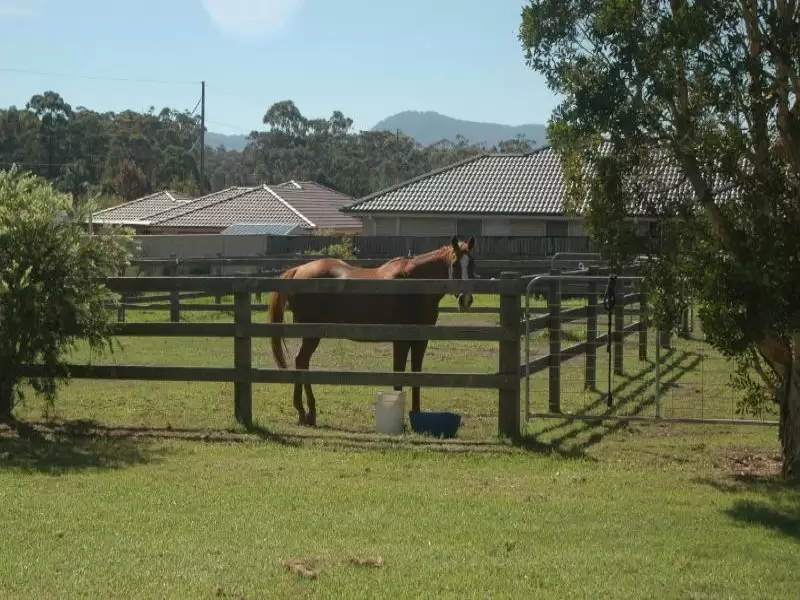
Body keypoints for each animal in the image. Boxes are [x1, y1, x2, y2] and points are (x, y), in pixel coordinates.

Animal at [266, 234, 478, 426]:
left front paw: (416, 414)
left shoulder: (420, 340)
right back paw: (306, 412)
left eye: (472, 265)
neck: (415, 283)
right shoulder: (401, 340)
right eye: (455, 264)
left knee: (302, 363)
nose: (465, 300)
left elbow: (416, 376)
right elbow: (399, 376)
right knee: (301, 362)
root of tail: (298, 270)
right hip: (312, 333)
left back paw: (305, 412)